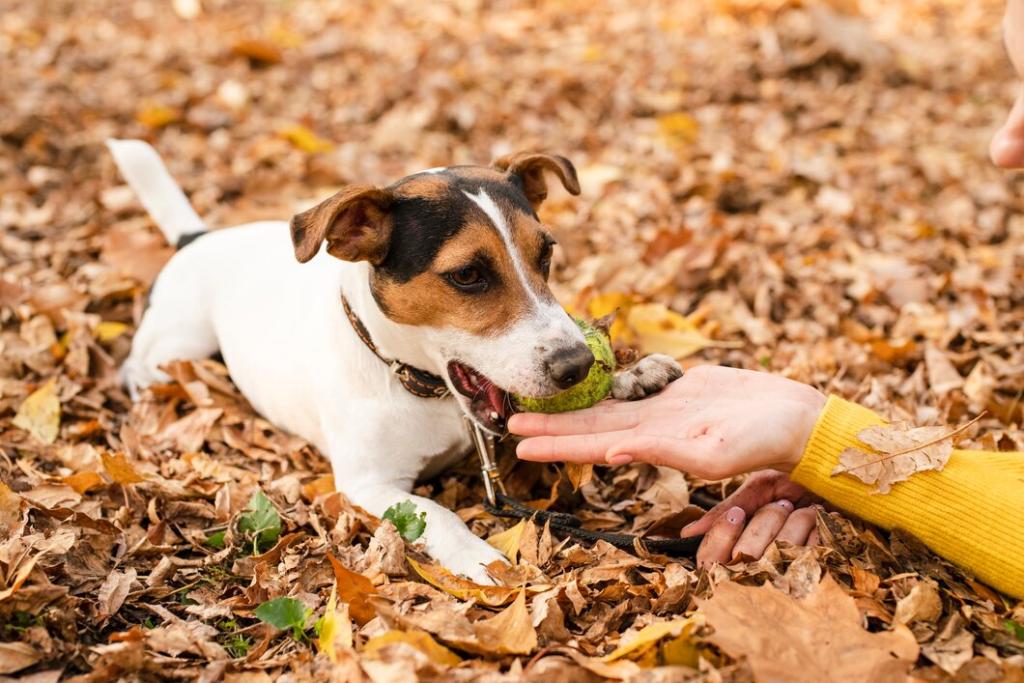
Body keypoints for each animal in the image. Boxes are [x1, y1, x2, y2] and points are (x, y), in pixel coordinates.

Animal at [108, 139, 684, 581]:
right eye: (467, 275)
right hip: (179, 341)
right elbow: (439, 515)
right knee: (141, 360)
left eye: (546, 254)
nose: (577, 366)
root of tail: (198, 238)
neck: (418, 385)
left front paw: (631, 376)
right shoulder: (369, 484)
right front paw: (480, 558)